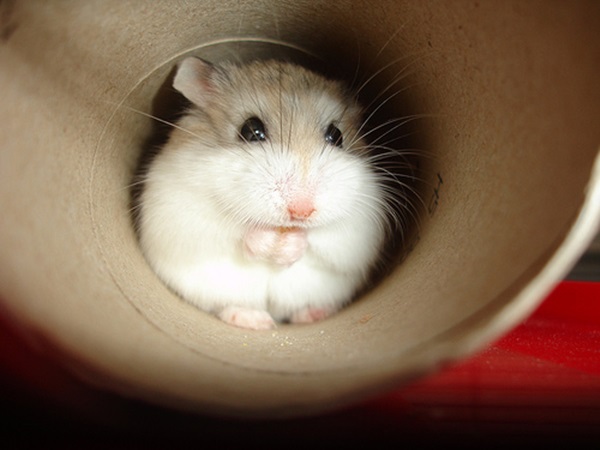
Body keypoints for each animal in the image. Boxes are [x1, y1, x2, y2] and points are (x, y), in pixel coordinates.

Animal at [136, 57, 390, 330]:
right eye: (250, 130)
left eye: (337, 136)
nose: (301, 212)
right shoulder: (180, 211)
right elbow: (237, 231)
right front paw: (269, 242)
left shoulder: (362, 223)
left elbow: (321, 238)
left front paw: (289, 244)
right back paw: (256, 321)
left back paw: (314, 314)